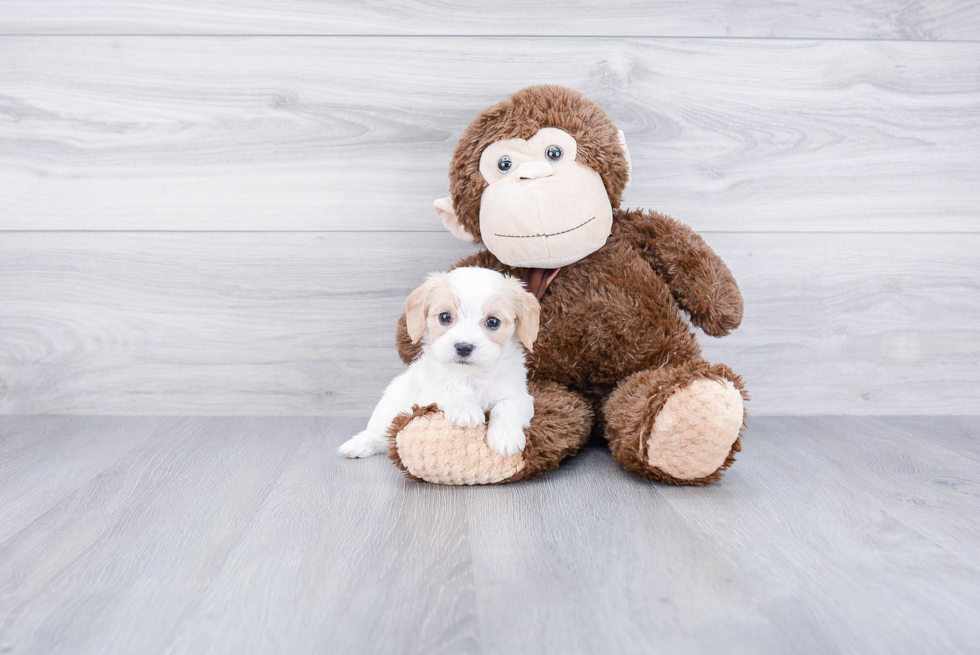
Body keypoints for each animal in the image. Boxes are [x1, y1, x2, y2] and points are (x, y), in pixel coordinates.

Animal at [338, 266, 540, 462]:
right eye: (444, 317)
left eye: (493, 322)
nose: (463, 347)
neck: (470, 376)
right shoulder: (429, 392)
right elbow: (448, 390)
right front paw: (465, 409)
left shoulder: (519, 395)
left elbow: (506, 406)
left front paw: (505, 437)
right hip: (390, 406)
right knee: (381, 434)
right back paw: (359, 445)